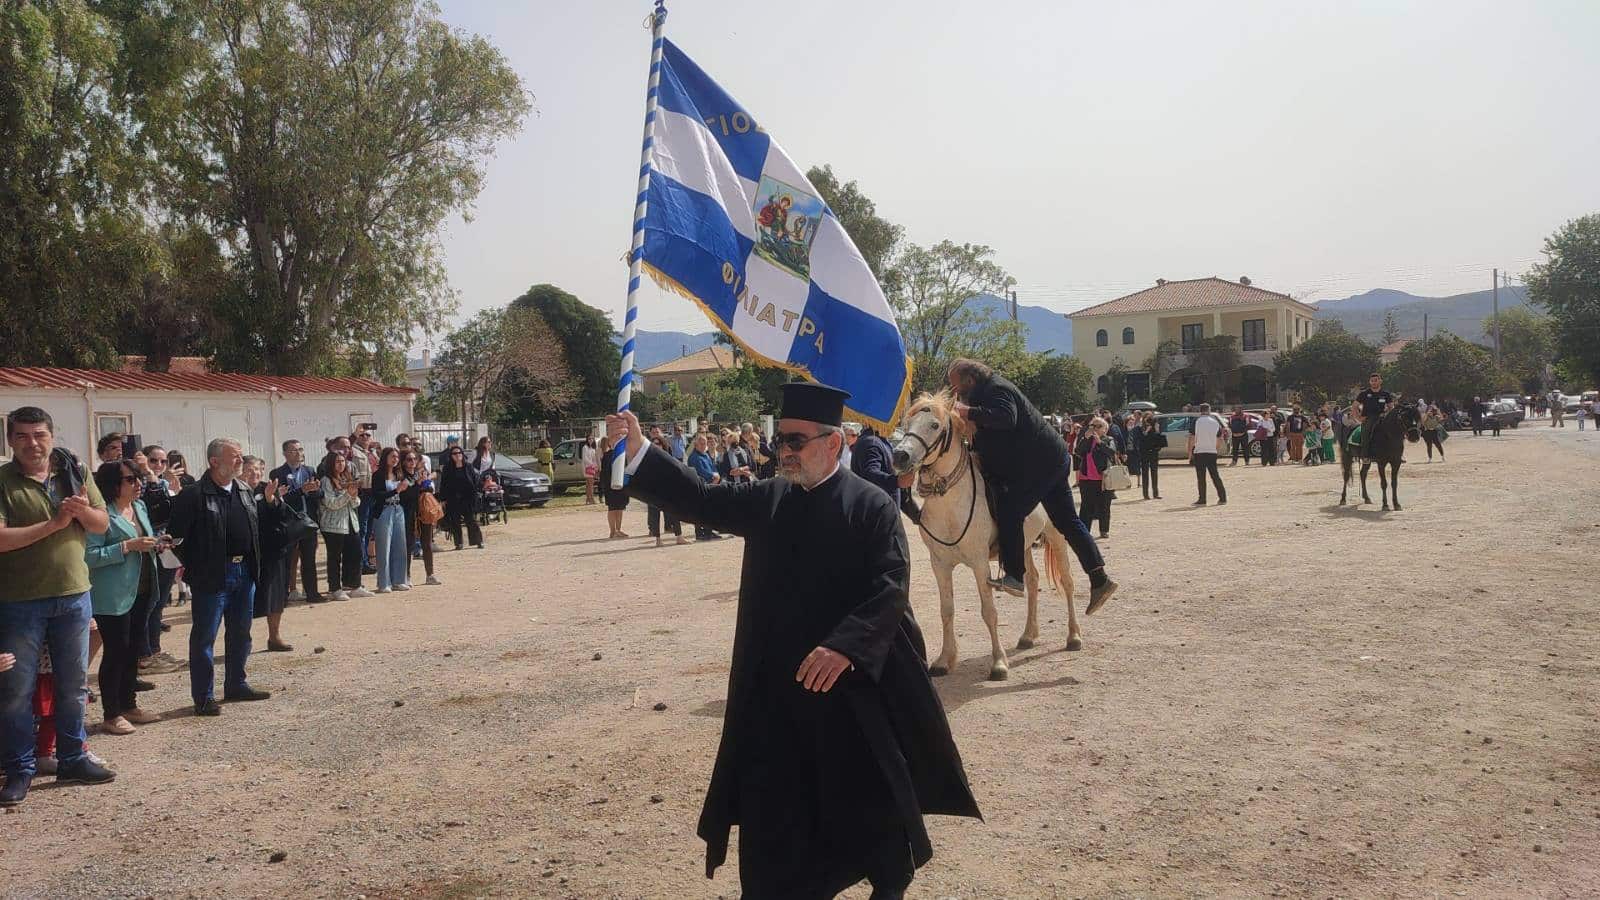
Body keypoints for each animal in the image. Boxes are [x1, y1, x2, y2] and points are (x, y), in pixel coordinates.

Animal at [889, 387, 1088, 679]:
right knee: (1031, 581)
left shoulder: (980, 563)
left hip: (1057, 536)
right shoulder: (940, 564)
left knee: (1068, 582)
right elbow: (946, 611)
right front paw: (944, 660)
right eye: (906, 424)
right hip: (1023, 545)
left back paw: (1073, 636)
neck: (950, 505)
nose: (900, 456)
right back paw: (1028, 635)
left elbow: (989, 611)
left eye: (934, 425)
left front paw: (998, 663)